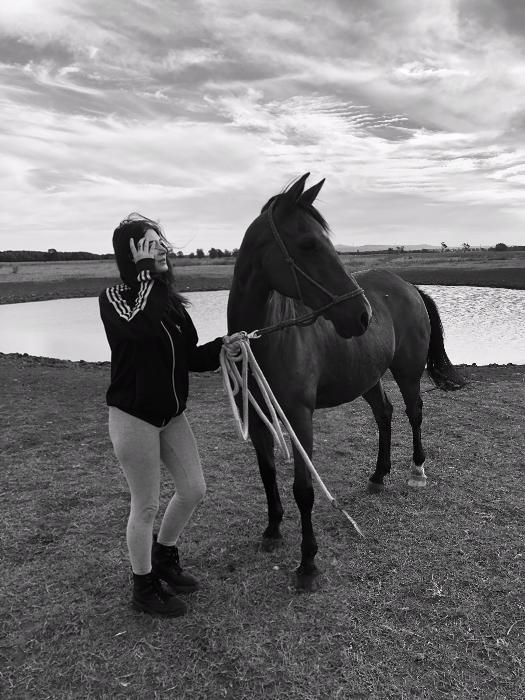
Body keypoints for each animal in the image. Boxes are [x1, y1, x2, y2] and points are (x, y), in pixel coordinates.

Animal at [227, 173, 465, 591]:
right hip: (367, 377)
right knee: (385, 414)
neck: (265, 339)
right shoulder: (257, 417)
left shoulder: (299, 418)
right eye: (308, 244)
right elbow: (267, 473)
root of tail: (408, 286)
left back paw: (417, 471)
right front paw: (272, 530)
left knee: (414, 412)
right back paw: (378, 475)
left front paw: (308, 563)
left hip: (406, 374)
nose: (362, 315)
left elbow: (304, 490)